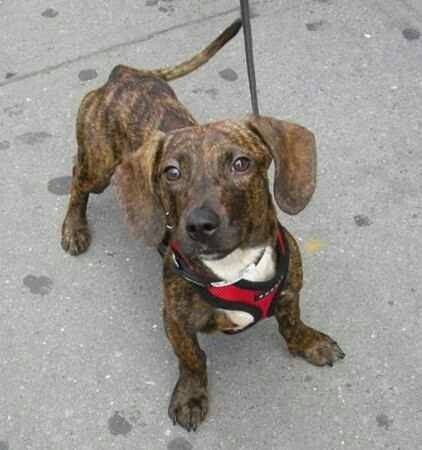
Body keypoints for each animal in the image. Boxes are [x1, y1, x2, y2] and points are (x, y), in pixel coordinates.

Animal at [62, 19, 346, 430]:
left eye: (241, 163)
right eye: (171, 172)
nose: (199, 225)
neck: (235, 265)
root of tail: (126, 75)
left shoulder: (290, 292)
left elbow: (291, 322)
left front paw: (307, 342)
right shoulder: (175, 322)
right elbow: (193, 358)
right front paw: (192, 395)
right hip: (99, 166)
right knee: (77, 180)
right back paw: (73, 227)